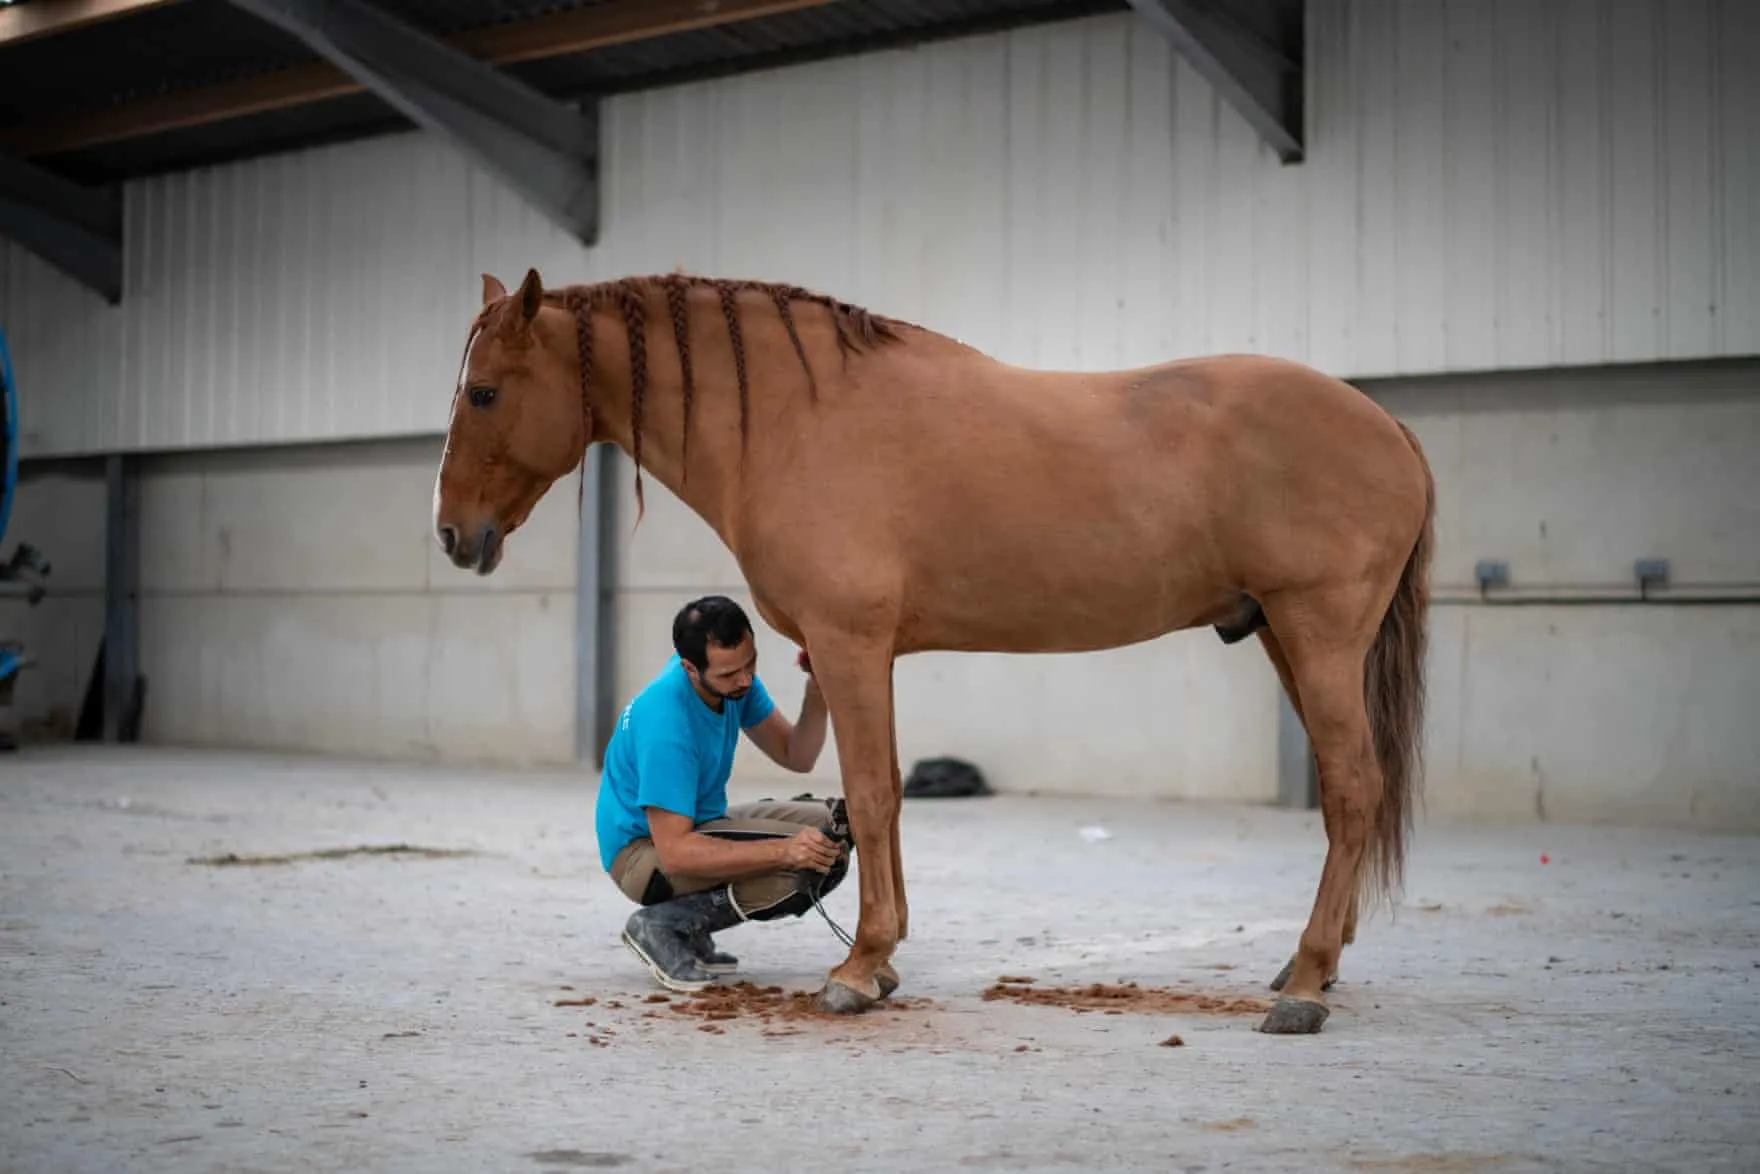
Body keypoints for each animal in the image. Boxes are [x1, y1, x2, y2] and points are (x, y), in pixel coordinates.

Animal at [432, 269, 1436, 1034]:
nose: (451, 535)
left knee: (1352, 789)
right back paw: (1315, 969)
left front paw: (857, 970)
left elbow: (872, 797)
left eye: (485, 392)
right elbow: (886, 794)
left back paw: (1302, 986)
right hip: (1282, 638)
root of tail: (1387, 427)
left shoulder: (849, 643)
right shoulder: (866, 657)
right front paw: (881, 966)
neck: (798, 418)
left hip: (1316, 634)